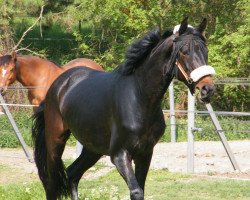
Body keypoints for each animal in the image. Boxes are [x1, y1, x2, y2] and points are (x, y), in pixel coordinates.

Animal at [31, 17, 215, 200]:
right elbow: (136, 191)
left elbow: (141, 188)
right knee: (52, 183)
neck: (139, 97)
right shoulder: (120, 155)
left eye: (205, 50)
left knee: (72, 174)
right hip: (55, 142)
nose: (207, 89)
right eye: (184, 51)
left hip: (93, 148)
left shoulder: (145, 154)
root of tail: (58, 84)